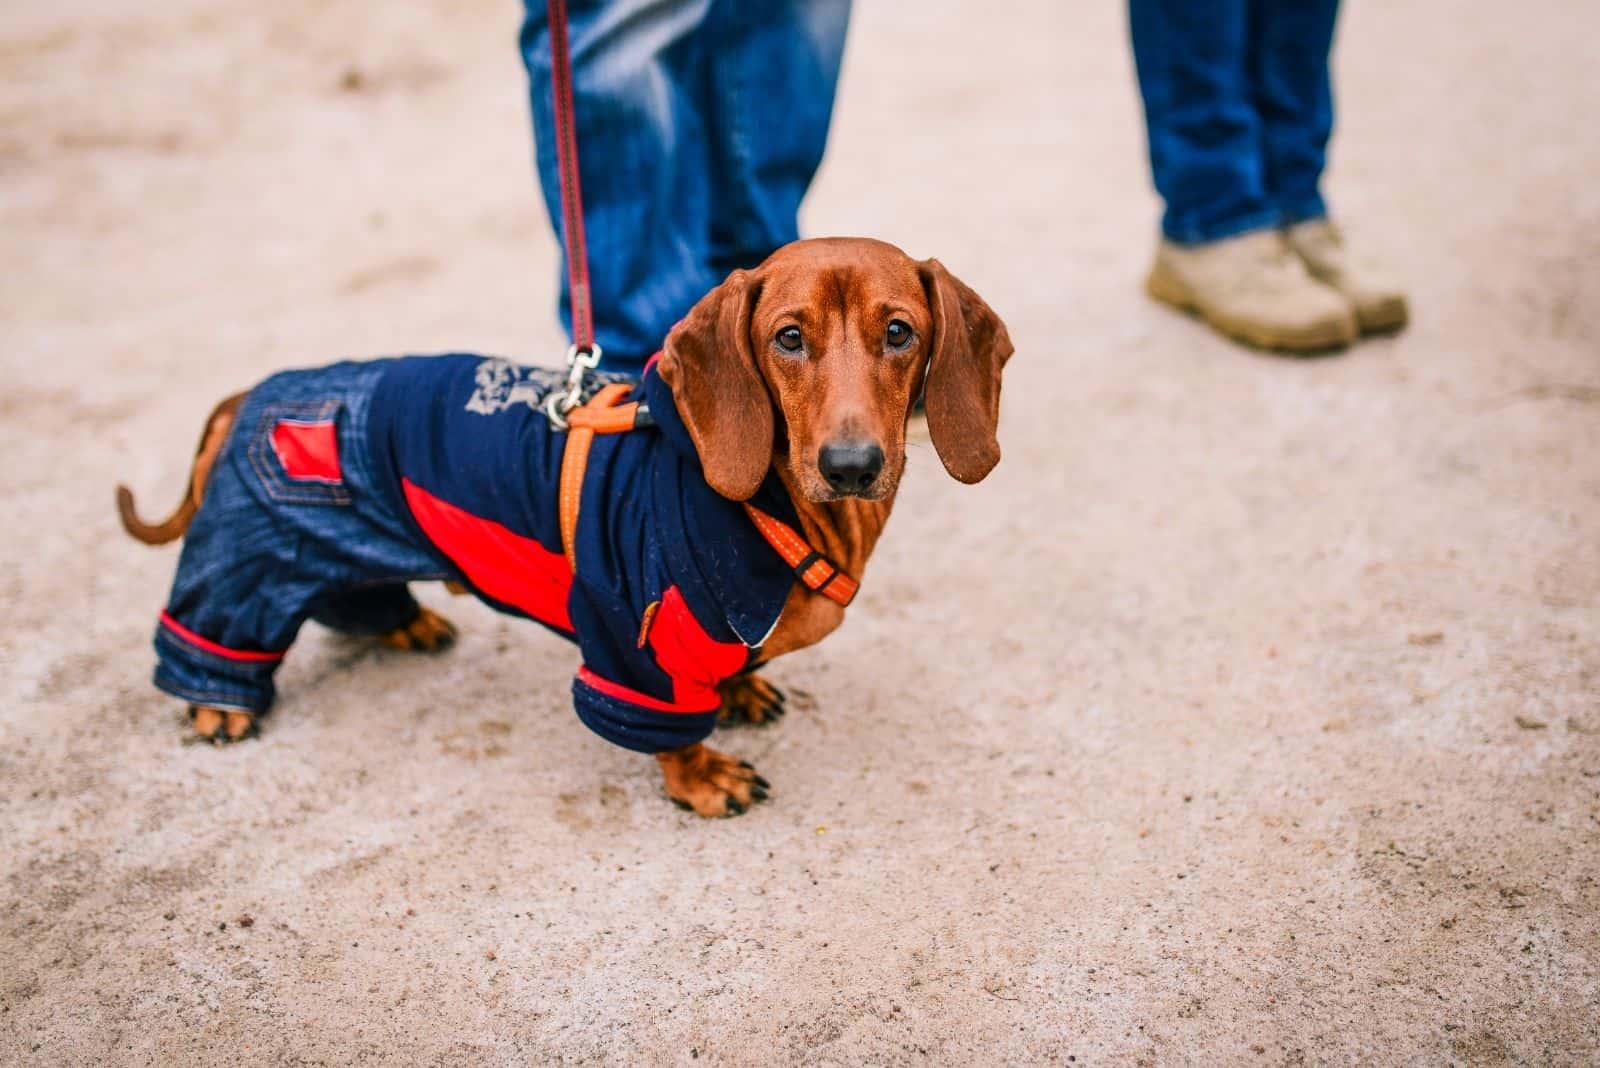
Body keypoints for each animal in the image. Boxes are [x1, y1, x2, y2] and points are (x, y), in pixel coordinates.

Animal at [121, 238, 1011, 812]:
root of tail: (258, 393)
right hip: (250, 559)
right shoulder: (634, 640)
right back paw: (218, 704)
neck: (770, 508)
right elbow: (669, 728)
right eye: (788, 338)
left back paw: (405, 625)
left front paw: (741, 687)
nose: (852, 465)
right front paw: (702, 779)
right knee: (216, 621)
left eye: (899, 332)